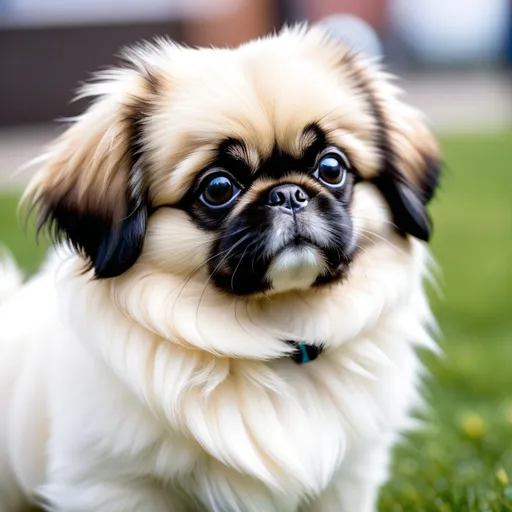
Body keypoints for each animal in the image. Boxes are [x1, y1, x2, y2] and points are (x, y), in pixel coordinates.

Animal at [0, 25, 440, 512]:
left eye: (330, 167)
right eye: (218, 188)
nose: (288, 194)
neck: (274, 333)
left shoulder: (347, 483)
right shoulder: (113, 485)